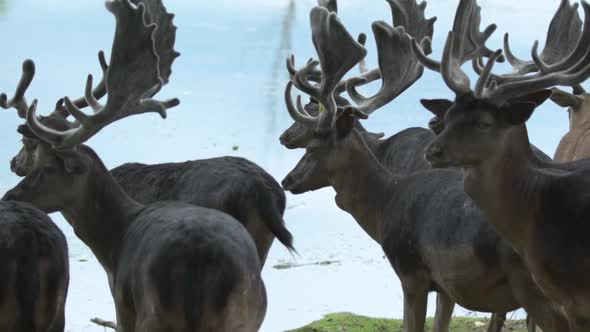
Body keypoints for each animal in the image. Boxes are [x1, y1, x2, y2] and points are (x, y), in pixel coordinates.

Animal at [280, 2, 568, 332]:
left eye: (313, 147)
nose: (286, 180)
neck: (384, 200)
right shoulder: (444, 284)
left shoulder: (413, 274)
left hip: (532, 282)